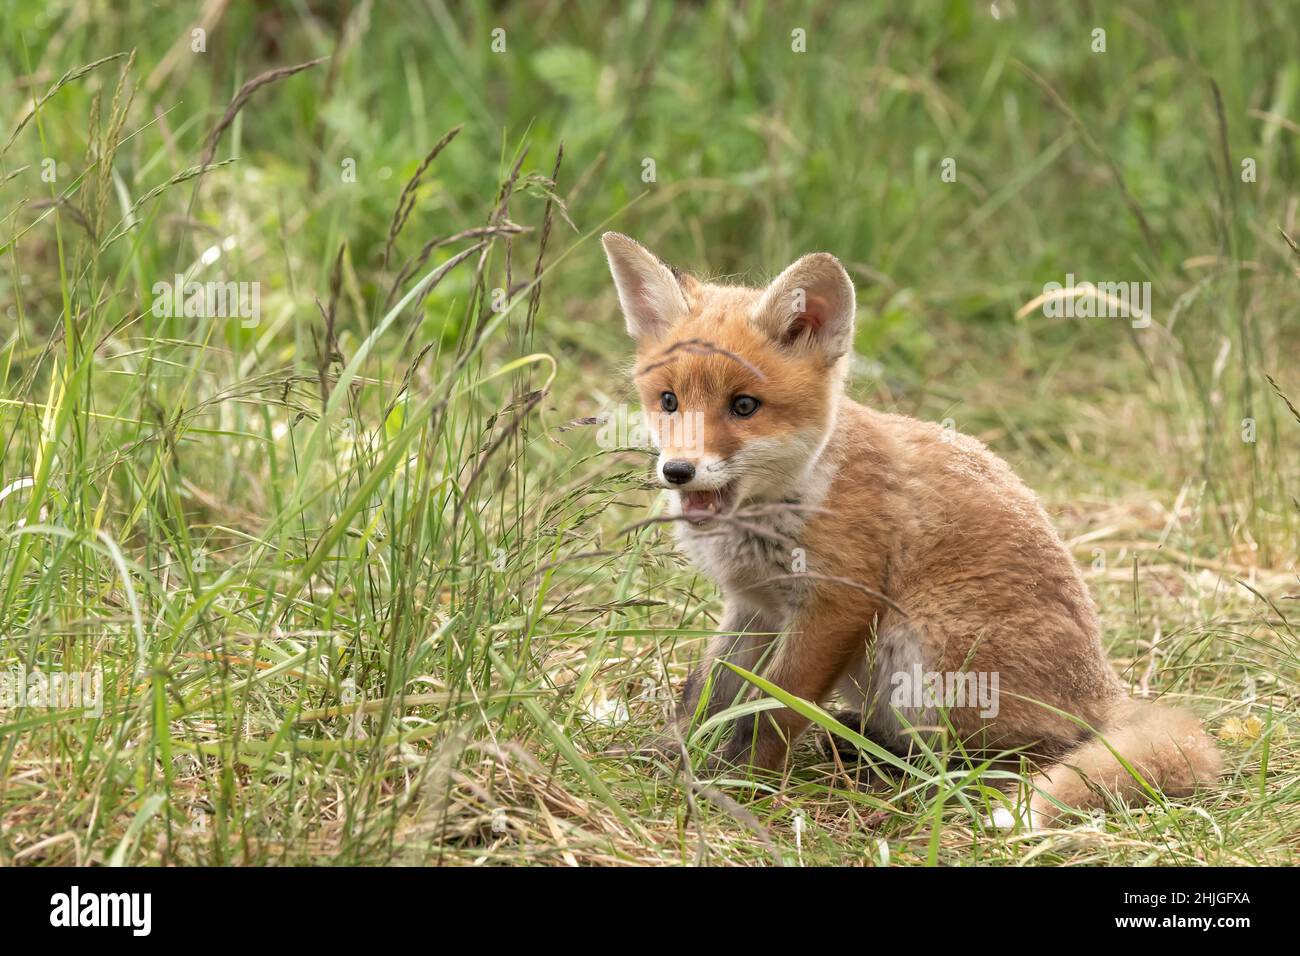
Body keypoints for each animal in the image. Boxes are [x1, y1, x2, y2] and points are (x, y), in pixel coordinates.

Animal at [598, 234, 1216, 832]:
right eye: (669, 401)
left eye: (744, 406)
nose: (678, 471)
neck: (798, 493)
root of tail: (1104, 690)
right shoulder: (755, 606)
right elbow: (705, 692)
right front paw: (669, 753)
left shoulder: (838, 604)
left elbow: (775, 712)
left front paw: (738, 782)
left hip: (921, 646)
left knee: (1033, 749)